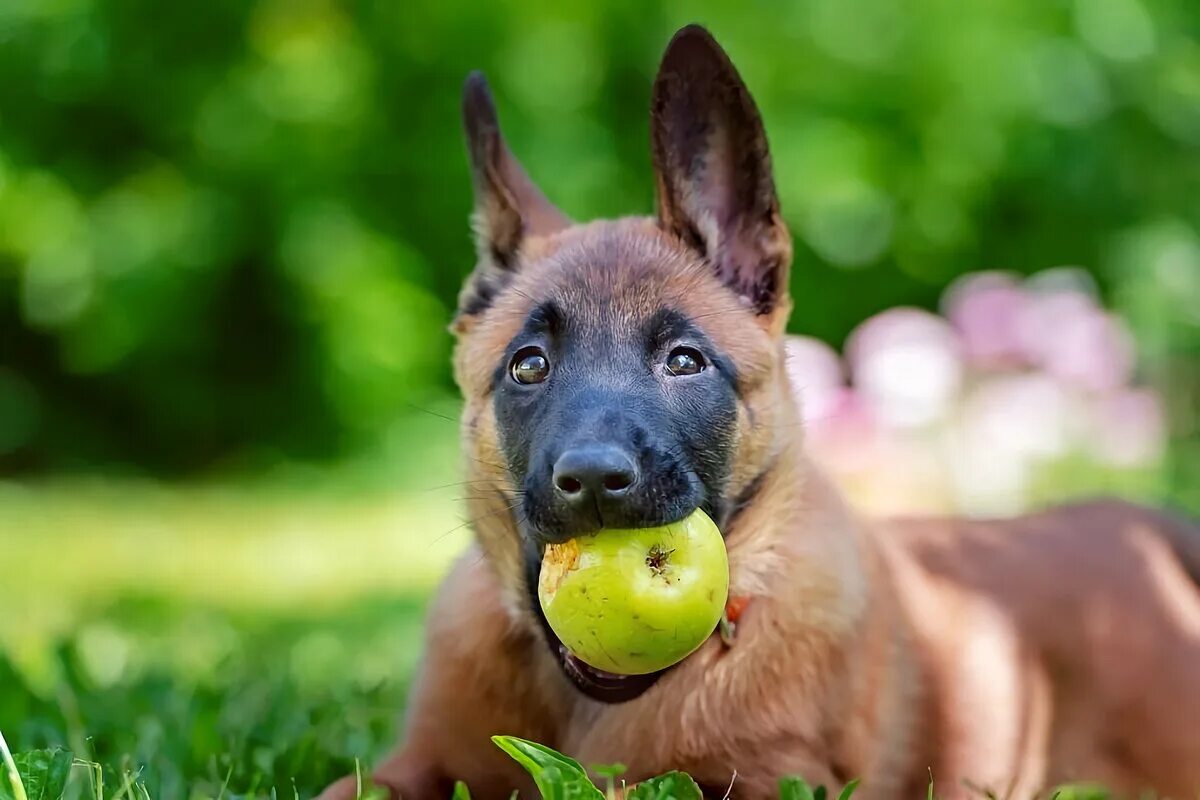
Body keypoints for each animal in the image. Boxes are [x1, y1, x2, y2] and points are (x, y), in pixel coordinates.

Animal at [319, 23, 1200, 800]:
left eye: (685, 361)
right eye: (528, 366)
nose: (596, 481)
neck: (590, 709)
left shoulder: (772, 780)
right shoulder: (413, 765)